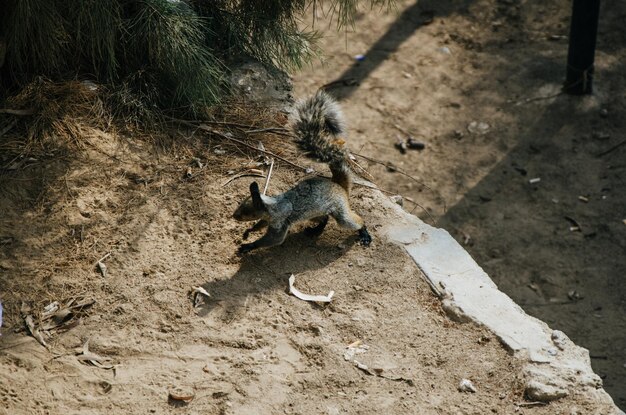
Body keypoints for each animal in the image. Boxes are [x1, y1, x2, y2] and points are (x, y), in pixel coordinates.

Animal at [233, 89, 370, 255]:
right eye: (241, 204)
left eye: (247, 212)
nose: (234, 216)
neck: (273, 206)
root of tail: (339, 185)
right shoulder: (267, 219)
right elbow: (260, 224)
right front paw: (248, 232)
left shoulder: (280, 222)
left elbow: (274, 239)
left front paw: (249, 246)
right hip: (314, 213)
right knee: (324, 219)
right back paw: (315, 231)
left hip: (340, 211)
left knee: (354, 221)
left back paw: (364, 234)